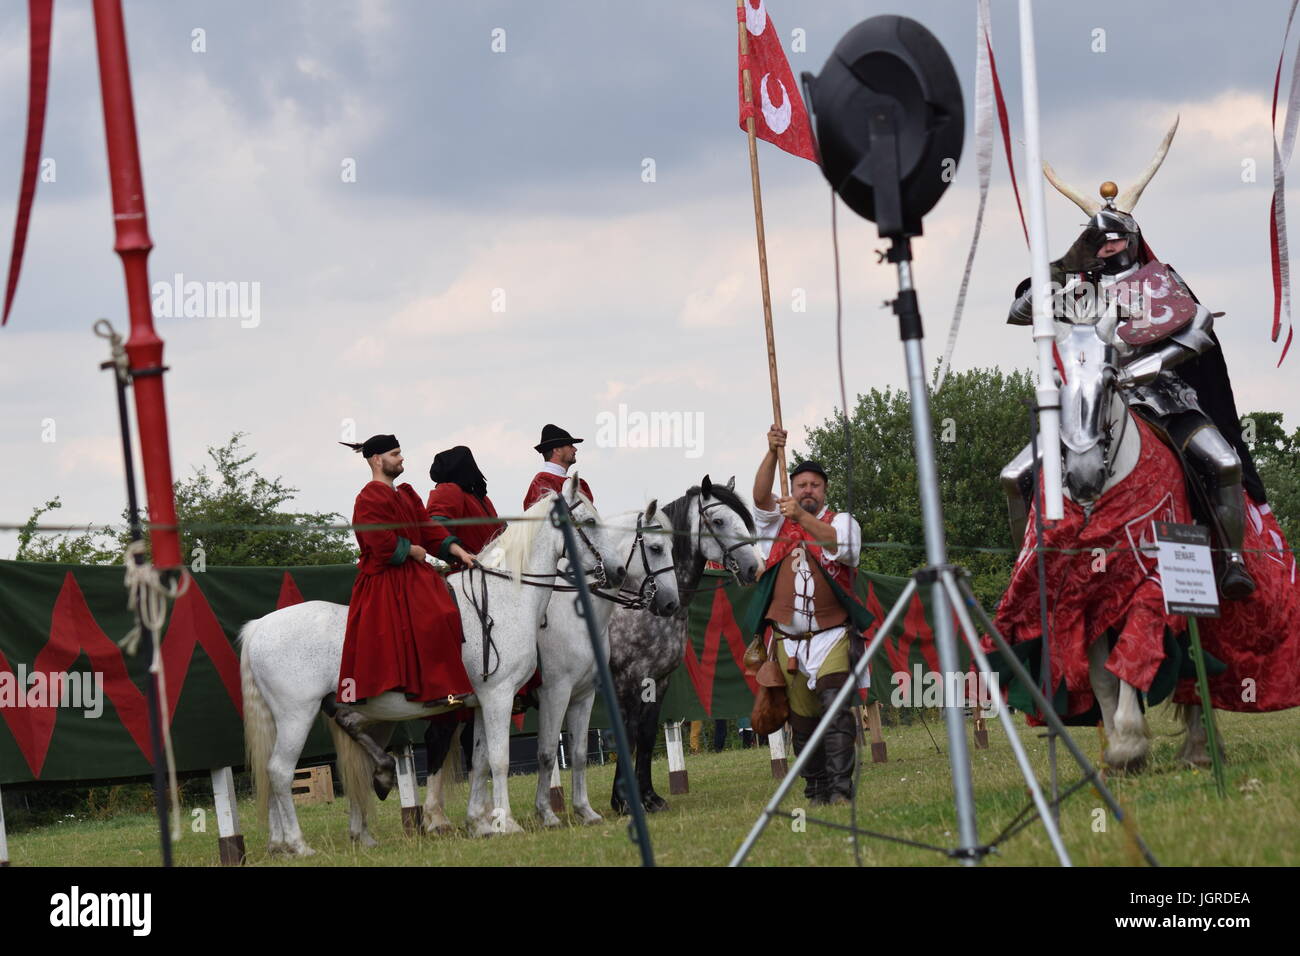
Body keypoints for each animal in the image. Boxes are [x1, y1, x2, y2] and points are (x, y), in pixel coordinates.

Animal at [241, 478, 621, 853]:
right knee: (280, 771)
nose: (615, 572)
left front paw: (481, 824)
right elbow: (501, 759)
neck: (505, 599)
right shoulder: (503, 696)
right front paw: (507, 822)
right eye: (589, 521)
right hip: (296, 715)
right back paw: (299, 843)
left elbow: (480, 760)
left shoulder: (482, 703)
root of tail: (259, 626)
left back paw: (285, 843)